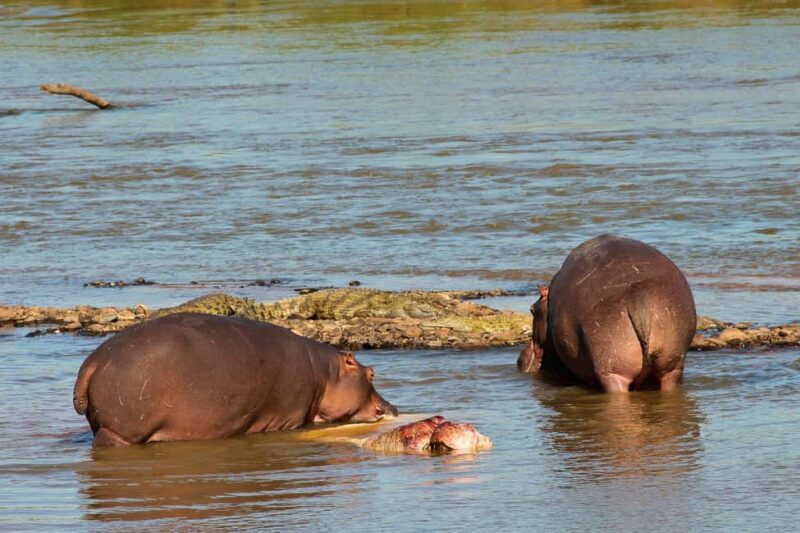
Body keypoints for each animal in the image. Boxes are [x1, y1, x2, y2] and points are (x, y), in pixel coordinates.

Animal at [73, 313, 398, 447]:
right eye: (371, 373)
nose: (393, 407)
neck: (325, 373)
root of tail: (93, 362)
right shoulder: (291, 415)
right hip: (120, 433)